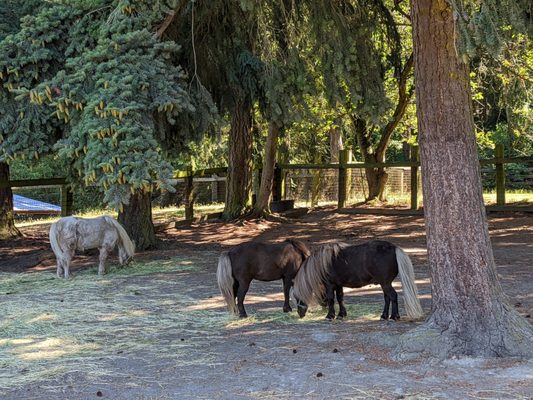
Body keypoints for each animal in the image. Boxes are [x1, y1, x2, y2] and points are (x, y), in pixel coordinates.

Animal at [294, 239, 422, 320]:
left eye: (296, 297)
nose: (300, 314)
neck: (323, 263)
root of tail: (394, 248)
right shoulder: (338, 285)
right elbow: (340, 298)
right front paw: (341, 315)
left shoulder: (330, 285)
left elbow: (331, 299)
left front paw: (330, 316)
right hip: (384, 284)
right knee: (387, 298)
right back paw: (384, 316)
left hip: (385, 283)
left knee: (393, 296)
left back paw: (394, 317)